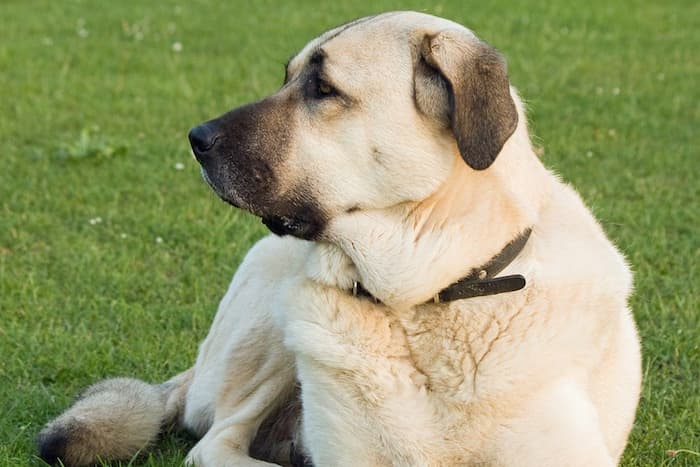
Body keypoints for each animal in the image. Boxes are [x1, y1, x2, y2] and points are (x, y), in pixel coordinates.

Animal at [37, 11, 640, 467]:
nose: (195, 139)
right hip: (275, 327)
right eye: (287, 77)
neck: (423, 304)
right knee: (216, 444)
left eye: (323, 89)